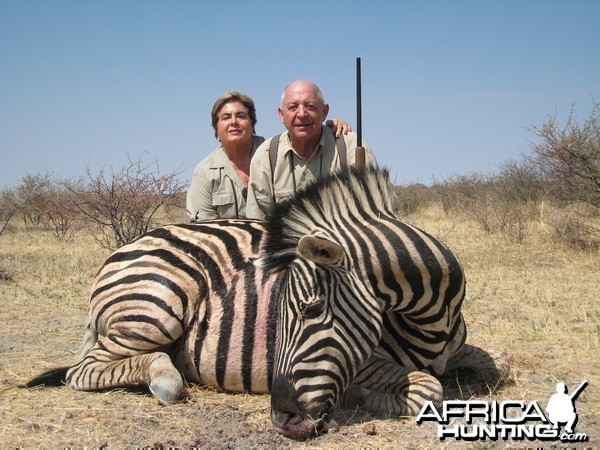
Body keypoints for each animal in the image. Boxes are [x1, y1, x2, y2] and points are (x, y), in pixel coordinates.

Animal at [25, 166, 508, 440]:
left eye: (311, 310)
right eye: (281, 311)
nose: (282, 421)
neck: (432, 319)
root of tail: (124, 249)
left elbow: (496, 363)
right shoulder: (364, 361)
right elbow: (428, 388)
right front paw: (367, 397)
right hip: (156, 308)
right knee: (84, 370)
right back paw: (163, 376)